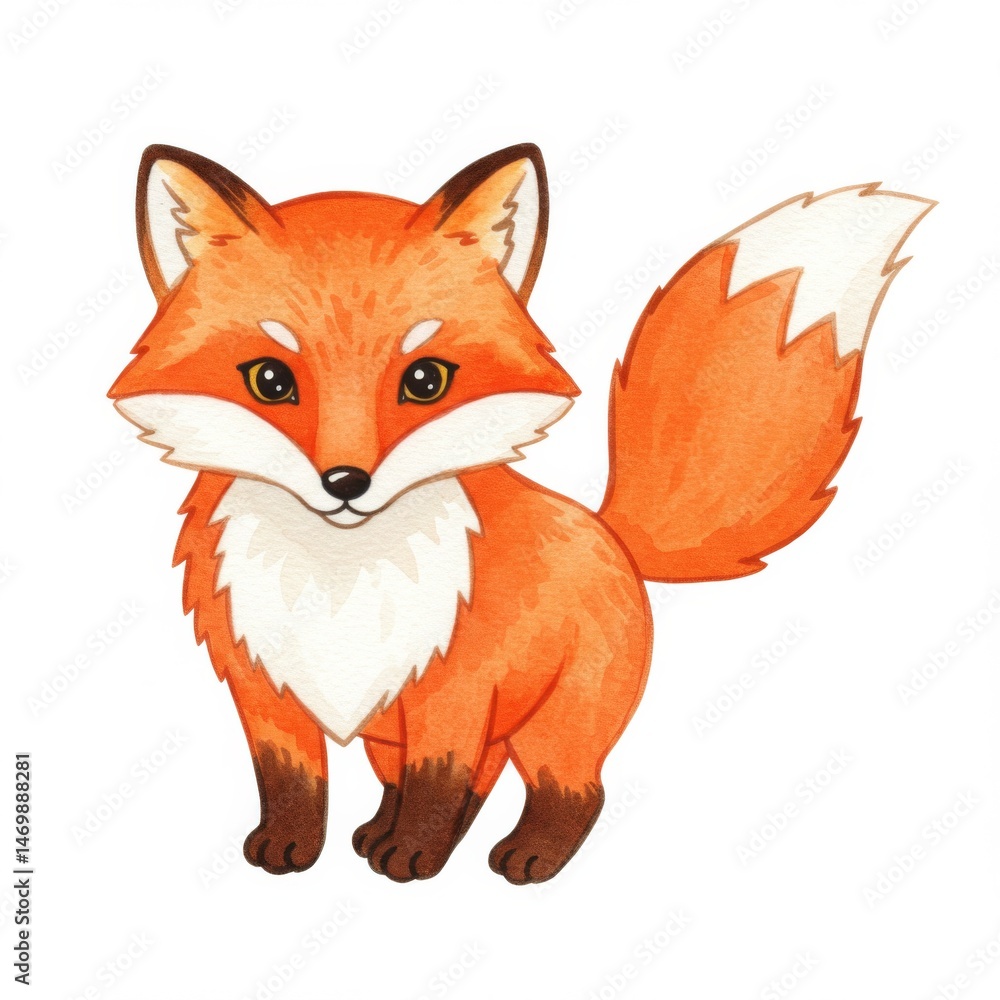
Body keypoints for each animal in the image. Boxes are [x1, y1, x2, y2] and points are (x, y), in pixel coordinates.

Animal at [110, 142, 933, 884]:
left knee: (571, 792)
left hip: (555, 727)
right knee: (462, 783)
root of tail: (610, 533)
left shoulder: (457, 690)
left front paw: (414, 858)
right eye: (271, 381)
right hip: (397, 736)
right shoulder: (265, 690)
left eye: (425, 380)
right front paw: (291, 847)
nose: (346, 481)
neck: (338, 576)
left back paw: (522, 857)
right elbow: (292, 783)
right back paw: (382, 834)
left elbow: (440, 784)